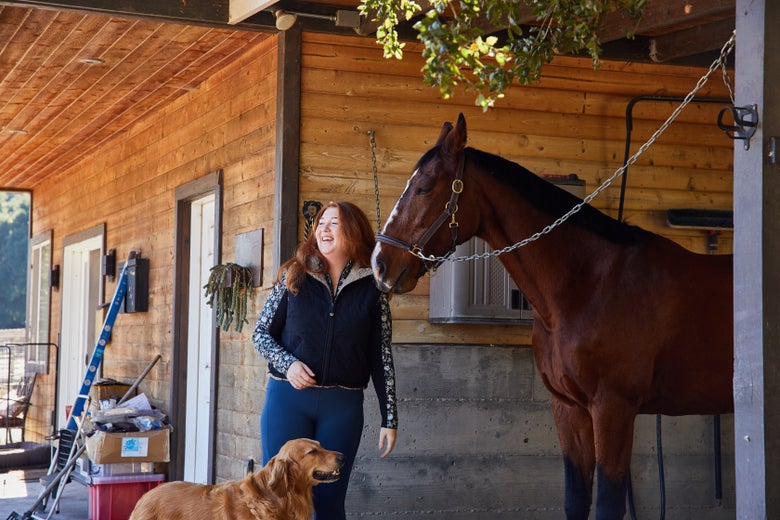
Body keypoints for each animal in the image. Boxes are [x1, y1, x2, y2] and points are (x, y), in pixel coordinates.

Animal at [371, 114, 733, 519]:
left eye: (424, 187)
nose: (380, 263)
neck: (590, 283)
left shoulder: (613, 409)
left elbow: (608, 503)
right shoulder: (569, 410)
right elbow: (575, 497)